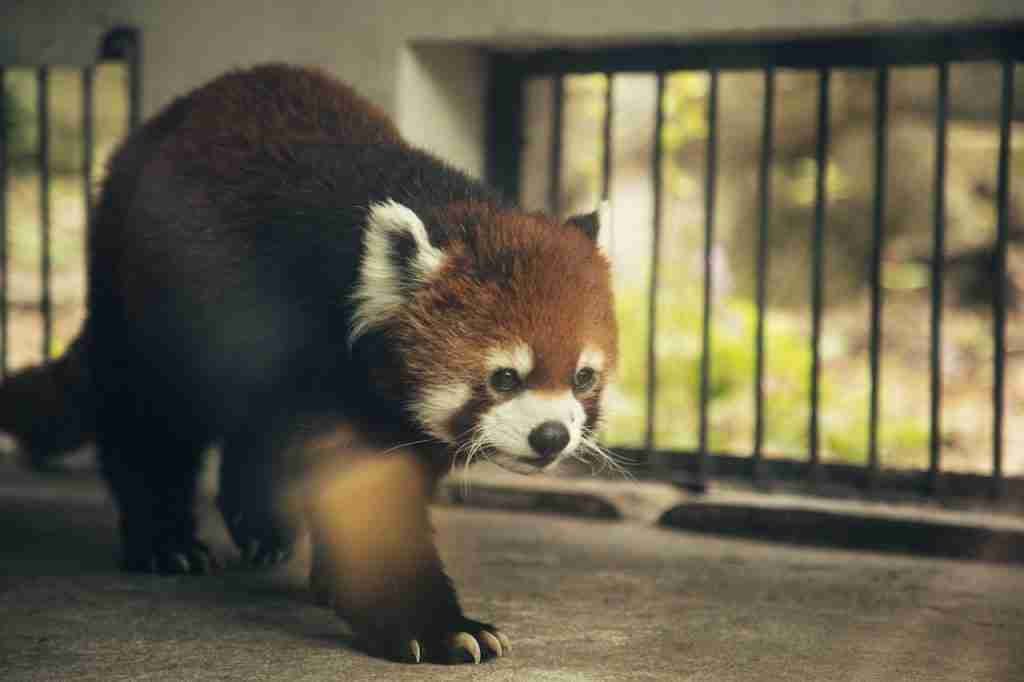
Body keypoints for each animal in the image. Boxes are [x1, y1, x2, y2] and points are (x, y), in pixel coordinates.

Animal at [0, 62, 614, 659]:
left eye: (583, 377)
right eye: (504, 377)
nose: (552, 436)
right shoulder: (319, 353)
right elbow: (369, 501)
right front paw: (436, 625)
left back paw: (261, 526)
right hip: (145, 299)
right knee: (148, 420)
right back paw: (165, 542)